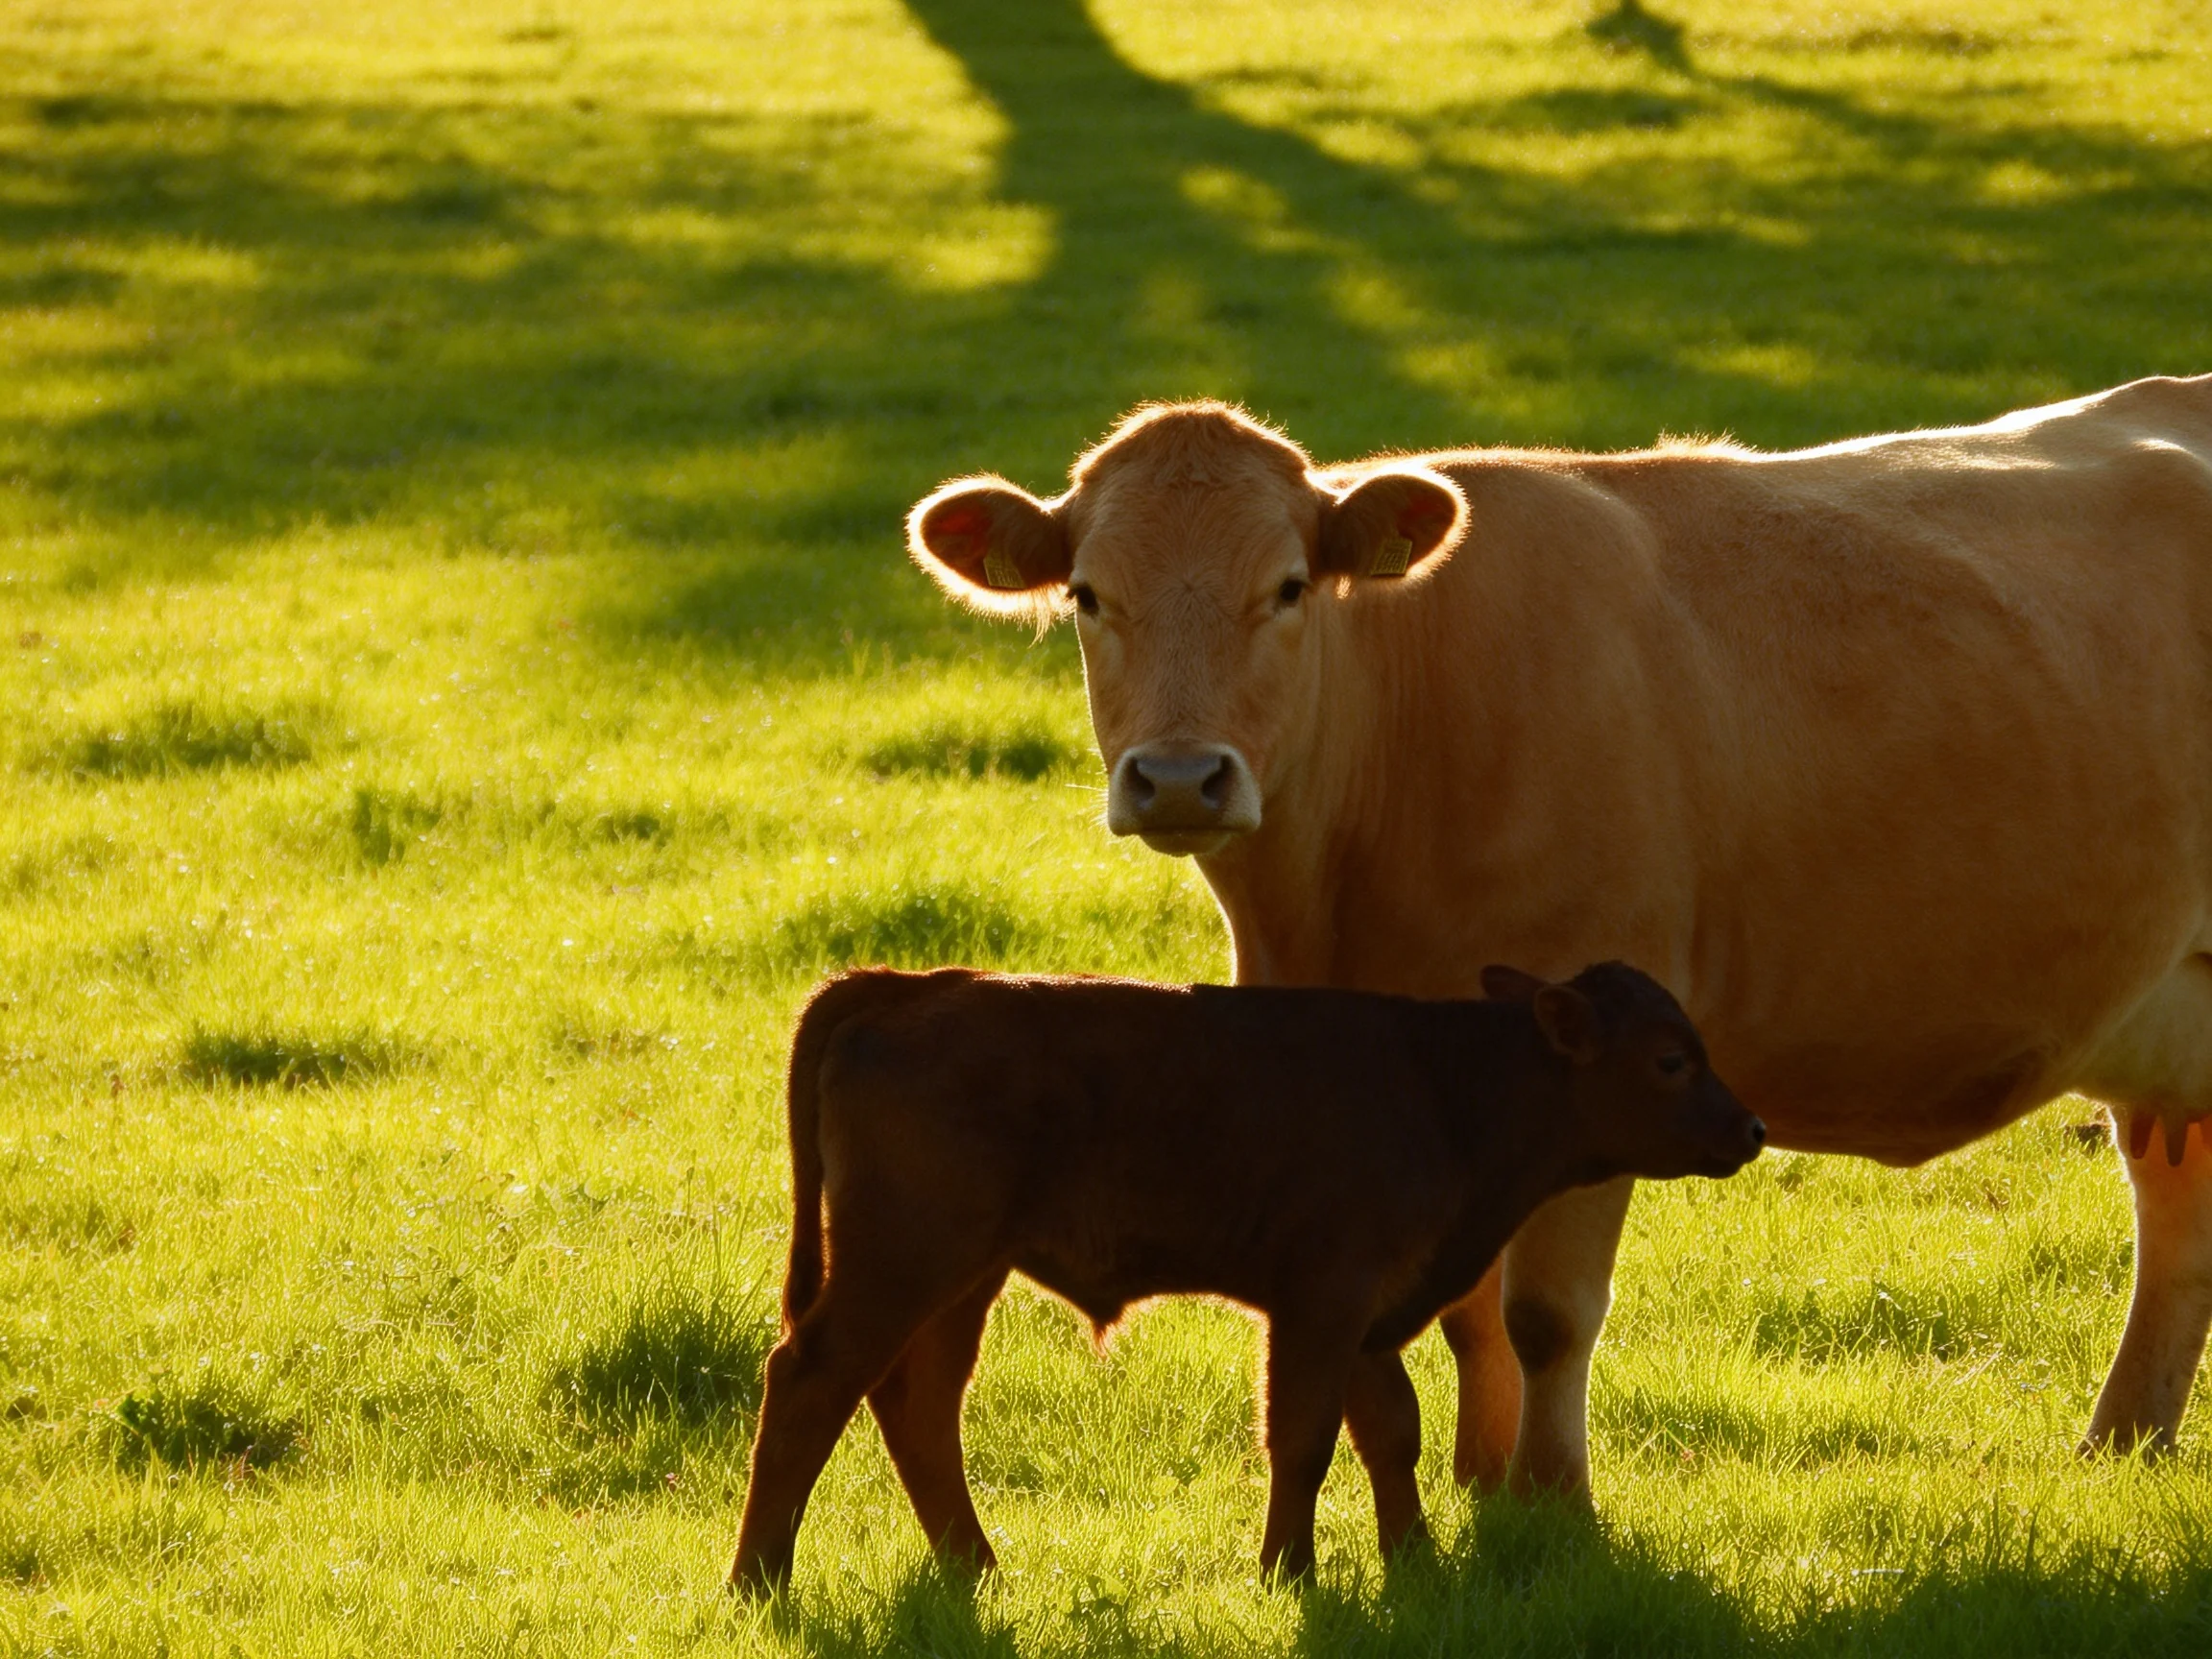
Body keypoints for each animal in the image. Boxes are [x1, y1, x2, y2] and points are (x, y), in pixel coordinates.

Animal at [730, 963, 1764, 1591]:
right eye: (1671, 1059)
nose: (1750, 1128)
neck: (1445, 1088)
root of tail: (907, 986)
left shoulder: (1369, 1316)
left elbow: (1391, 1433)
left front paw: (1415, 1562)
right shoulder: (1322, 1301)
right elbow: (1303, 1439)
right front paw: (1289, 1572)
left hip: (962, 1279)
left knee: (917, 1401)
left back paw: (975, 1566)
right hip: (903, 1262)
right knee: (812, 1378)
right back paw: (759, 1581)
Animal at [905, 375, 2212, 1495]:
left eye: (1287, 588)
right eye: (1088, 596)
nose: (1180, 778)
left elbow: (1545, 1315)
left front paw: (1553, 1504)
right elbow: (1469, 1307)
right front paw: (1485, 1485)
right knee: (2177, 1220)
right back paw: (2120, 1449)